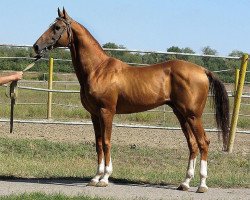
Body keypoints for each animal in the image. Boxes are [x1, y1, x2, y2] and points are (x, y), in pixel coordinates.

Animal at [33, 8, 229, 193]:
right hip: (181, 115)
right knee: (192, 145)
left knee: (203, 143)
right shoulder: (94, 115)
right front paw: (95, 177)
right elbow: (98, 144)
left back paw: (202, 185)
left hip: (193, 115)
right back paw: (185, 183)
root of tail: (203, 70)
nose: (36, 46)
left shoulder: (107, 112)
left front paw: (105, 178)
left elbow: (106, 143)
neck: (97, 69)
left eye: (57, 27)